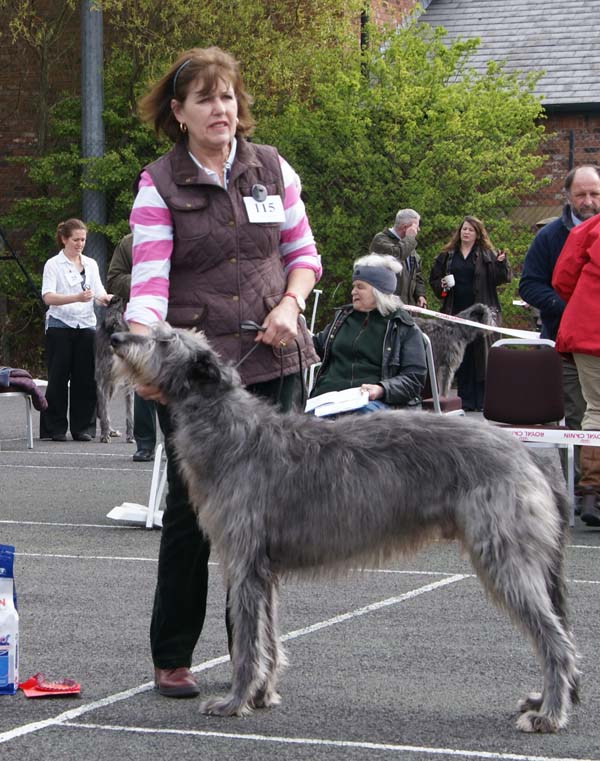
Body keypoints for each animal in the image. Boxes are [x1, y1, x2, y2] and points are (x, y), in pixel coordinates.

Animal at [95, 294, 134, 442]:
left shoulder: (129, 382)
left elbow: (130, 414)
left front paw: (131, 436)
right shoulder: (101, 381)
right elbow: (104, 411)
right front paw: (104, 435)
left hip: (112, 387)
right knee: (103, 410)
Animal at [110, 324, 580, 732]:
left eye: (165, 340)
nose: (115, 336)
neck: (231, 431)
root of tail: (528, 456)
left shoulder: (243, 563)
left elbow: (246, 643)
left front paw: (235, 701)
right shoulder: (264, 571)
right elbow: (268, 636)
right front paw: (262, 695)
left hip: (505, 556)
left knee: (556, 639)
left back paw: (549, 714)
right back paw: (542, 700)